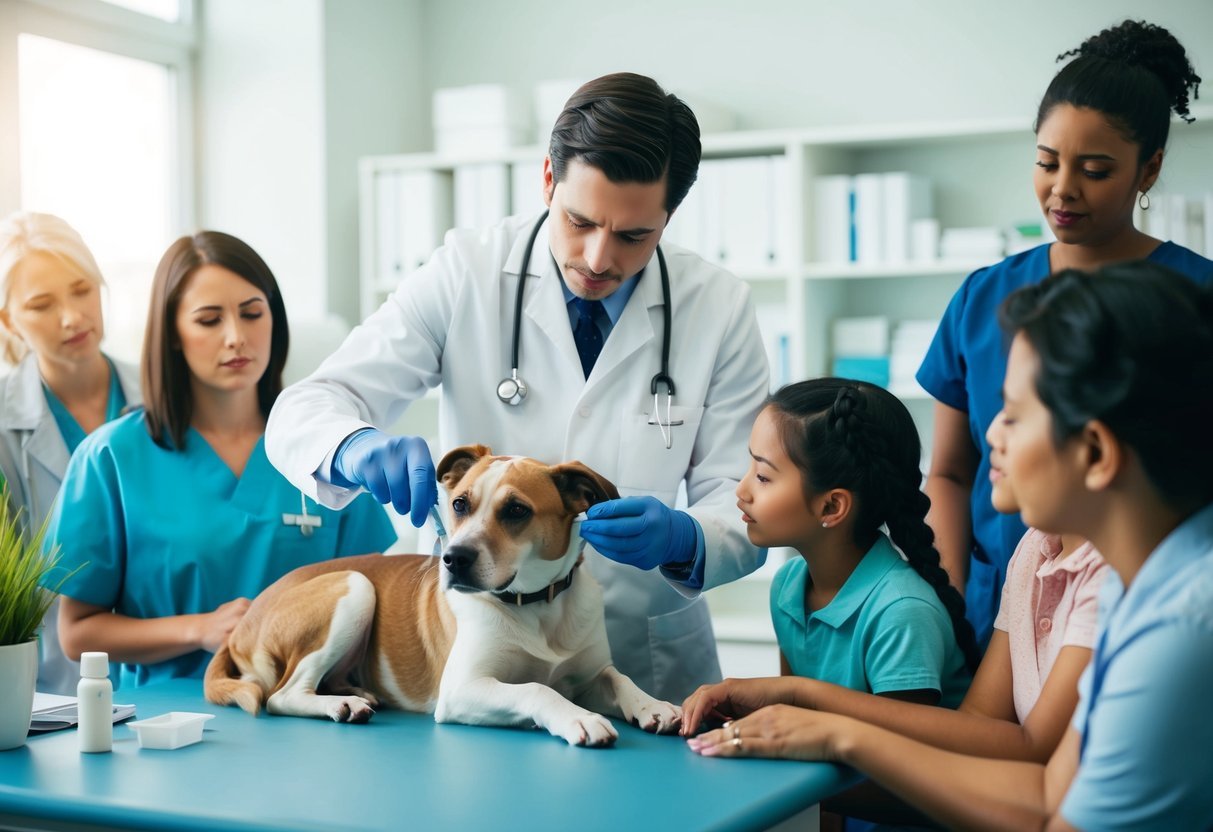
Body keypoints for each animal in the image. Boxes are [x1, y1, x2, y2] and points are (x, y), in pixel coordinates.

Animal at [206, 446, 684, 747]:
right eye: (459, 504)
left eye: (517, 510)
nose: (453, 559)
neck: (536, 605)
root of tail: (245, 619)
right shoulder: (462, 688)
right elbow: (537, 689)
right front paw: (579, 717)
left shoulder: (588, 673)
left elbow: (618, 677)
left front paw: (654, 704)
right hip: (354, 587)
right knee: (281, 694)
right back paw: (341, 704)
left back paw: (356, 692)